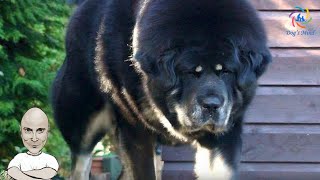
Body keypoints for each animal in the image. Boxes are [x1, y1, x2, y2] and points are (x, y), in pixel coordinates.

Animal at [51, 0, 272, 179]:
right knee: (80, 165)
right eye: (191, 72)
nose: (212, 105)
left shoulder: (225, 135)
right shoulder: (136, 132)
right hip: (82, 124)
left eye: (226, 71)